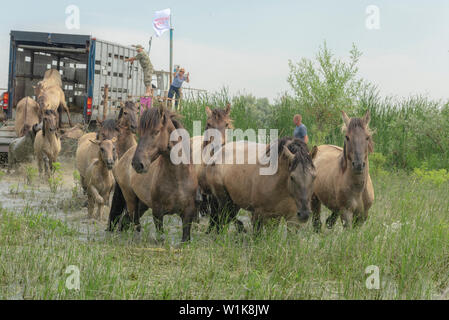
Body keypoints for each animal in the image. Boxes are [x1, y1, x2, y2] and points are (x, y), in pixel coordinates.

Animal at [107, 106, 197, 241]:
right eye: (140, 133)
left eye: (156, 131)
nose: (137, 164)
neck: (178, 179)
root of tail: (124, 157)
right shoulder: (158, 213)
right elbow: (160, 238)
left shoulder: (188, 214)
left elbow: (185, 239)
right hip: (131, 200)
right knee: (135, 224)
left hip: (143, 204)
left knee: (125, 221)